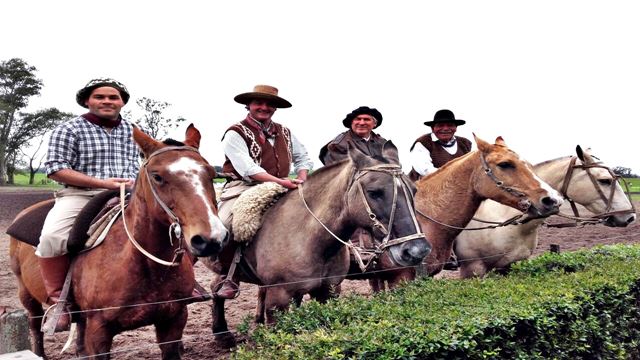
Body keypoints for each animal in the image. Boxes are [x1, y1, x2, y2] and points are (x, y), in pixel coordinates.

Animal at [8, 124, 228, 360]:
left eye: (211, 174)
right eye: (157, 177)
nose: (211, 239)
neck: (145, 265)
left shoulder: (173, 321)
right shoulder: (99, 332)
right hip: (27, 296)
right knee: (35, 326)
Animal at [208, 141, 432, 346]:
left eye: (414, 190)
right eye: (374, 192)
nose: (417, 250)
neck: (310, 239)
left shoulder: (328, 292)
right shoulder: (279, 299)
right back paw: (222, 332)